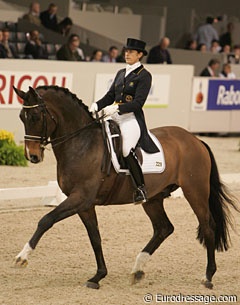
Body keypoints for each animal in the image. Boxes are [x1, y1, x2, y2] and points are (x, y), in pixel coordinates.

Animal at [13, 85, 238, 288]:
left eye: (35, 117)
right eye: (22, 117)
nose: (32, 156)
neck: (82, 144)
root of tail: (195, 140)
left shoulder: (80, 198)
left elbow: (46, 220)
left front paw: (22, 257)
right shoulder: (85, 204)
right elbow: (95, 237)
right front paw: (98, 276)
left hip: (195, 191)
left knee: (208, 227)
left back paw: (207, 277)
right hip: (153, 198)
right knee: (163, 228)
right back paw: (137, 270)